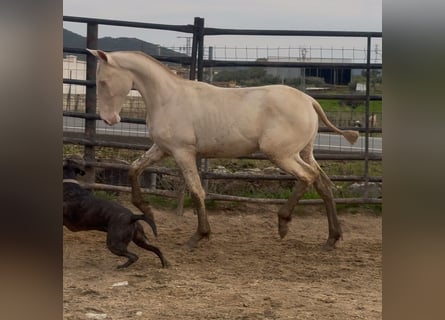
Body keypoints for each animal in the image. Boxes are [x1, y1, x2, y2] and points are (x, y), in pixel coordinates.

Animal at [87, 49, 360, 250]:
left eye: (103, 81)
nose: (109, 119)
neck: (167, 98)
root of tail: (310, 101)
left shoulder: (183, 152)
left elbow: (197, 190)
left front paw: (199, 236)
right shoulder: (161, 149)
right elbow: (134, 170)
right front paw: (146, 210)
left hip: (281, 154)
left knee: (307, 177)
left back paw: (284, 223)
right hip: (304, 152)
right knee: (323, 184)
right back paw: (331, 239)